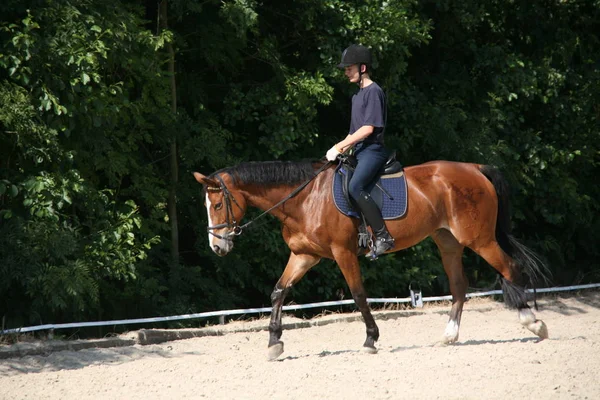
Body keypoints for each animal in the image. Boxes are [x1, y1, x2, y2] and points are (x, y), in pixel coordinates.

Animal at [195, 159, 552, 360]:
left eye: (218, 205)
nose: (217, 247)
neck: (305, 198)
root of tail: (474, 168)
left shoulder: (342, 253)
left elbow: (358, 295)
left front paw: (370, 339)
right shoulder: (304, 255)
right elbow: (278, 292)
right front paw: (274, 343)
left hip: (479, 240)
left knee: (510, 268)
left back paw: (533, 323)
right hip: (448, 242)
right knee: (459, 287)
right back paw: (450, 336)